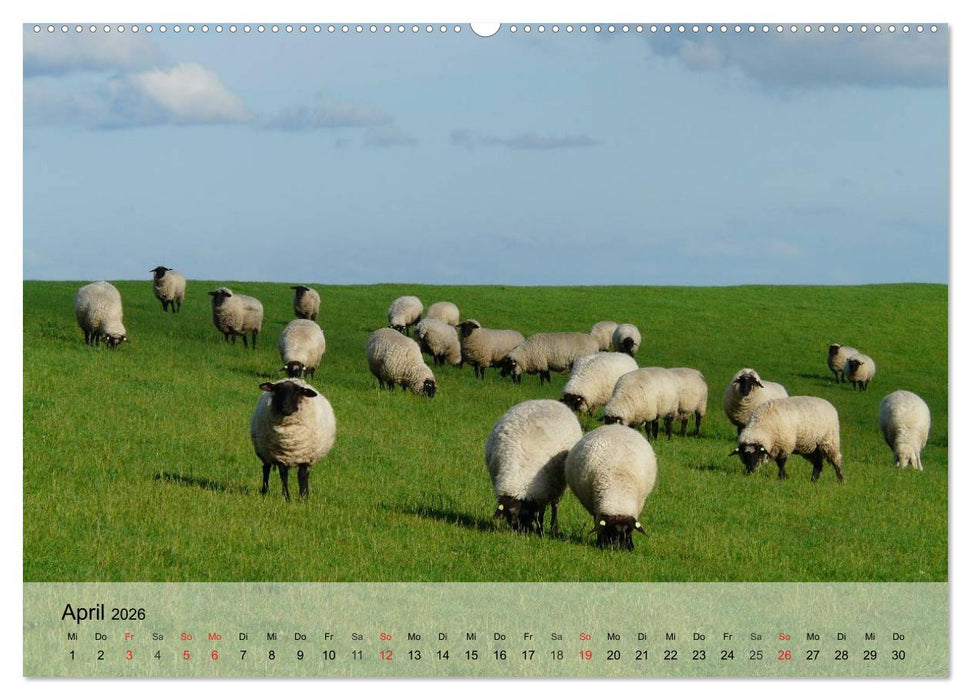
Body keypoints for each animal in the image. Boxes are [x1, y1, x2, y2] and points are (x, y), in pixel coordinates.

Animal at [485, 399, 583, 536]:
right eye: (508, 515)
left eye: (525, 514)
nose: (521, 531)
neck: (518, 474)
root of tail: (549, 400)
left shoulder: (542, 492)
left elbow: (541, 514)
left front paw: (541, 531)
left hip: (557, 486)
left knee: (555, 505)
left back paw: (553, 528)